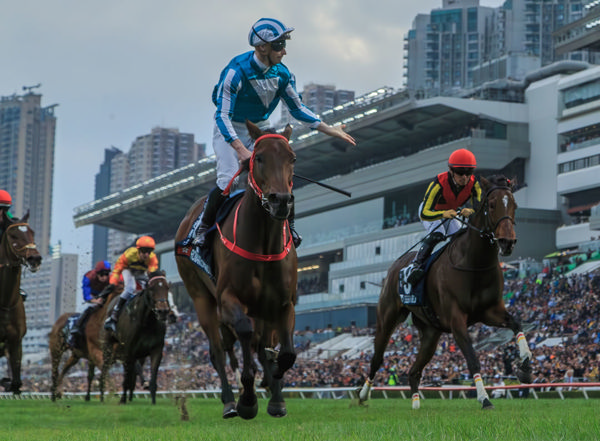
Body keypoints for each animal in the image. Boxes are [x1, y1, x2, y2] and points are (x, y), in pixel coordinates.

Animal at [98, 268, 169, 402]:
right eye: (151, 288)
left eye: (167, 287)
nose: (163, 311)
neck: (147, 322)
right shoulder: (128, 351)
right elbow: (126, 378)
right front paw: (122, 400)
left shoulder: (156, 349)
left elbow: (152, 377)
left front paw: (153, 401)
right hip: (108, 344)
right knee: (105, 367)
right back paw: (102, 396)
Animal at [173, 121, 298, 420]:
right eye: (259, 158)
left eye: (292, 158)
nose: (280, 201)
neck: (264, 245)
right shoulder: (228, 299)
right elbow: (244, 333)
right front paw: (248, 399)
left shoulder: (283, 303)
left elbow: (283, 352)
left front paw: (276, 393)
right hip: (201, 298)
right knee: (219, 350)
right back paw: (230, 401)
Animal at [358, 175, 532, 410]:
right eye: (492, 204)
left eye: (514, 204)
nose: (507, 242)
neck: (474, 263)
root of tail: (395, 266)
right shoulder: (456, 319)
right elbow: (472, 358)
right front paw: (484, 398)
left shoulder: (490, 311)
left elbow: (517, 324)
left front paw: (525, 366)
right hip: (387, 318)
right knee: (377, 358)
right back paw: (362, 395)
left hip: (431, 333)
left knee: (413, 371)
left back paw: (415, 405)